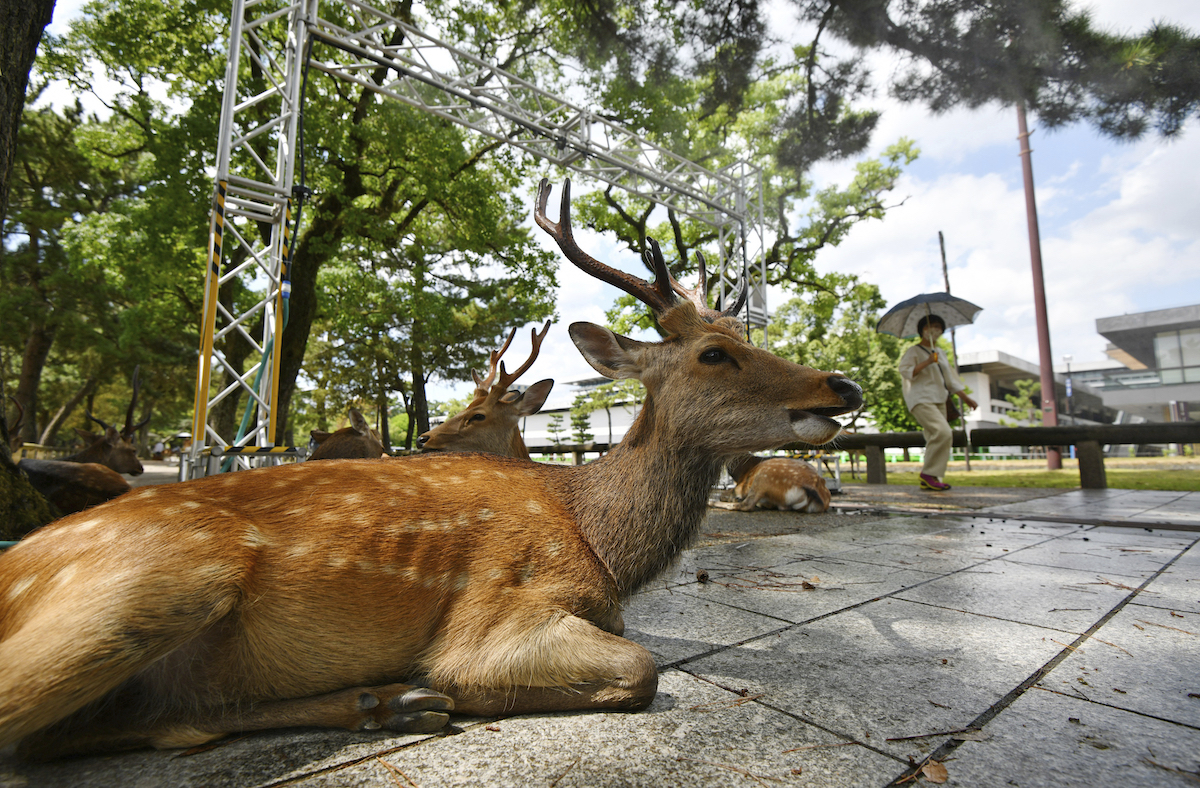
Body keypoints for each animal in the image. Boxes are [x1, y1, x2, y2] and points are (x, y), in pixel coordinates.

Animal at [0, 179, 864, 762]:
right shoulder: (498, 607)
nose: (845, 386)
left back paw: (388, 704)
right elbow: (638, 667)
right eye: (715, 353)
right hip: (161, 575)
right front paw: (453, 689)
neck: (598, 541)